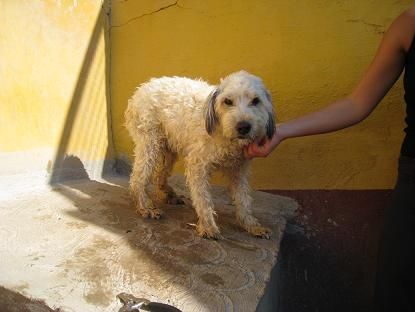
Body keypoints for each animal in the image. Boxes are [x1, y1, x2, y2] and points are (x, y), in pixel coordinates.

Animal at [125, 70, 278, 239]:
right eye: (228, 101)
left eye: (256, 101)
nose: (243, 127)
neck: (222, 132)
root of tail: (141, 89)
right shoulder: (197, 166)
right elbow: (203, 198)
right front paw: (208, 226)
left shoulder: (238, 170)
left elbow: (243, 200)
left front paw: (251, 225)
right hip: (150, 145)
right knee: (137, 179)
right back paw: (145, 207)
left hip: (169, 149)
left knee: (159, 175)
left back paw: (169, 194)